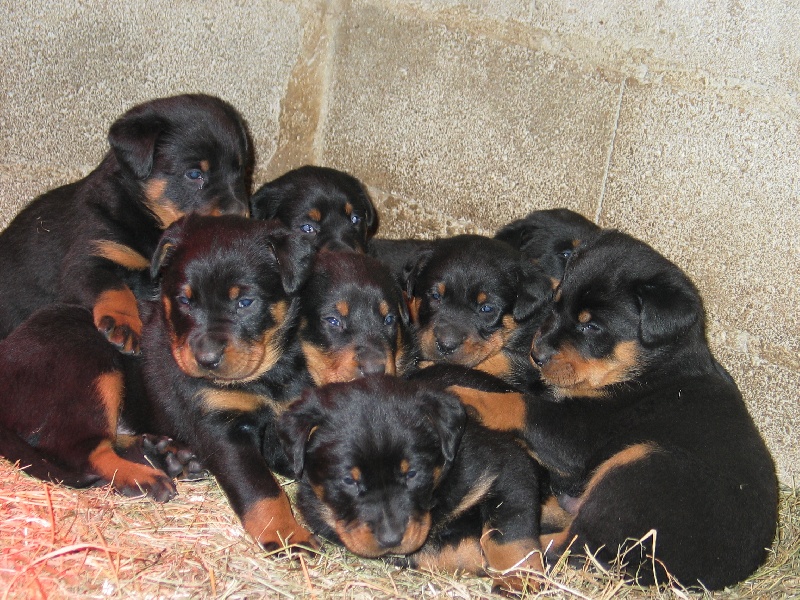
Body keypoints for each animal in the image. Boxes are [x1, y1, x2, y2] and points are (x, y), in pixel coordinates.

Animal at [0, 94, 252, 354]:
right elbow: (115, 287)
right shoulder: (89, 257)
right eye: (194, 174)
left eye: (242, 171)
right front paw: (123, 323)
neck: (147, 219)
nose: (239, 215)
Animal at [123, 213, 314, 552]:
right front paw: (285, 535)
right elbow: (260, 488)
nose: (206, 358)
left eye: (245, 302)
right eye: (184, 300)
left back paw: (172, 455)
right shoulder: (222, 426)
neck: (264, 378)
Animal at [278, 378, 548, 592]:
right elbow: (445, 551)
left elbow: (510, 536)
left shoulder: (507, 465)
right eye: (348, 480)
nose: (390, 538)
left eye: (413, 474)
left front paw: (517, 581)